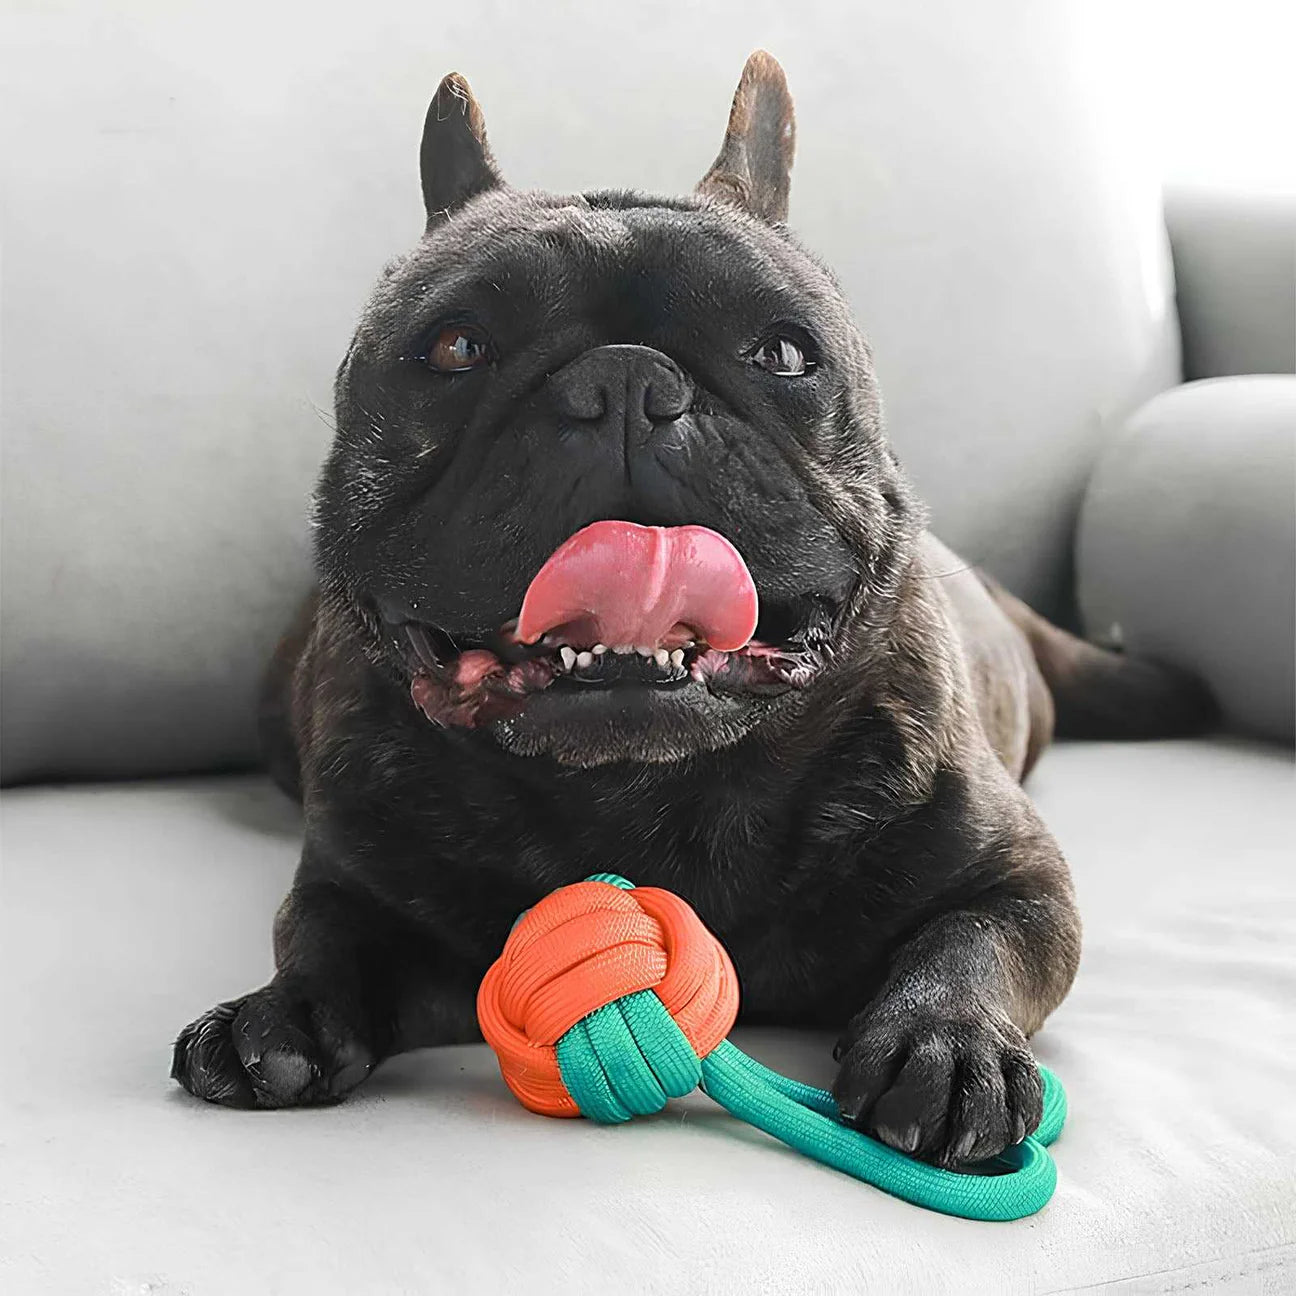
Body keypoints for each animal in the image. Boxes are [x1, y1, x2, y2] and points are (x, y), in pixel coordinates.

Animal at [174, 53, 1213, 1166]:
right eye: (455, 348)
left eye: (785, 353)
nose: (624, 382)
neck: (641, 788)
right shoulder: (357, 879)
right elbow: (325, 938)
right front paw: (280, 1015)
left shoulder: (1014, 874)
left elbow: (976, 939)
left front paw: (947, 1043)